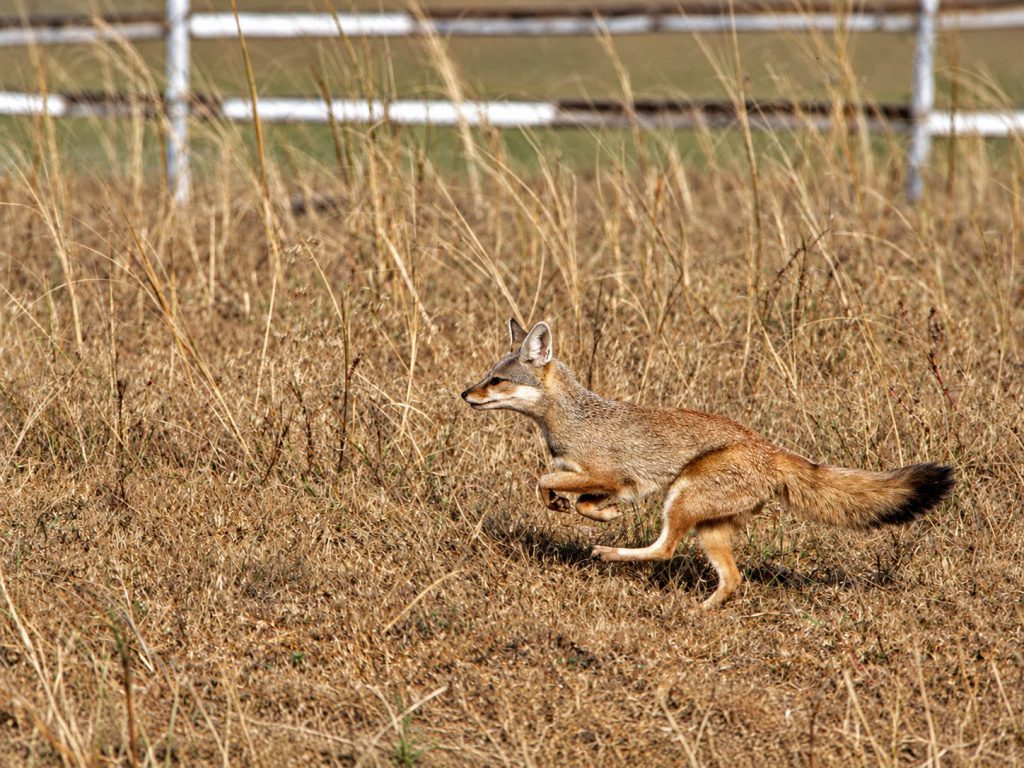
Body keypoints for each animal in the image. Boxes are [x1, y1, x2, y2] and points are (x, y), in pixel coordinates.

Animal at [461, 318, 955, 609]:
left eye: (496, 380)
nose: (464, 393)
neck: (572, 417)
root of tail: (771, 450)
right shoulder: (618, 483)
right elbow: (579, 499)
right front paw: (601, 513)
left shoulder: (607, 474)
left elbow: (543, 479)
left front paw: (570, 507)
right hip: (708, 528)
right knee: (733, 578)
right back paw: (701, 611)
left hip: (682, 501)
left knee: (665, 549)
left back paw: (612, 554)